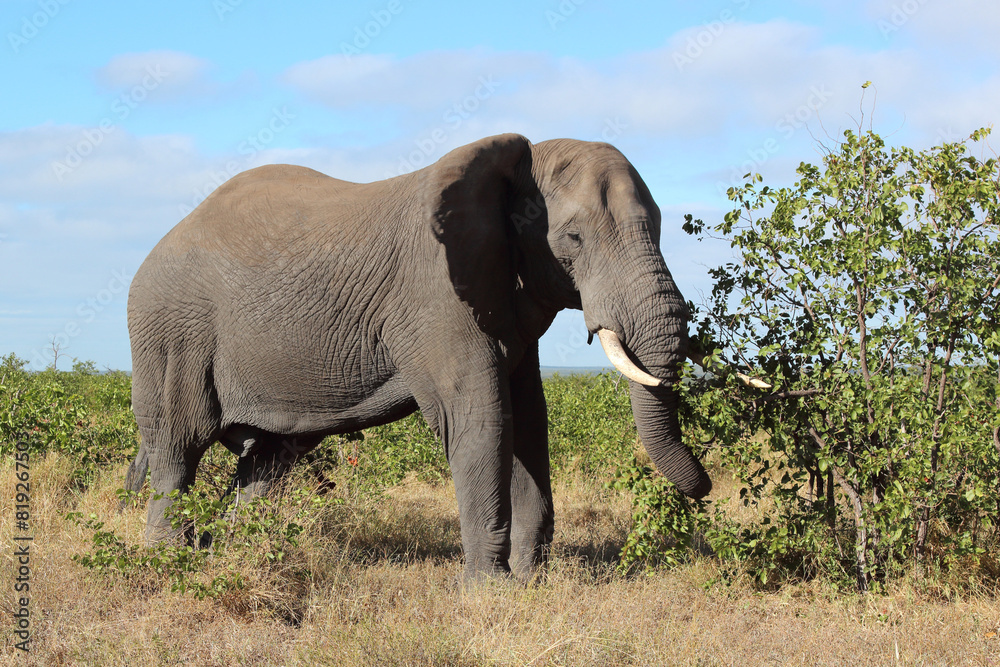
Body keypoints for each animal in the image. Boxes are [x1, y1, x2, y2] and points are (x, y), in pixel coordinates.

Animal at [123, 133, 713, 582]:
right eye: (574, 238)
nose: (706, 490)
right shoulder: (436, 298)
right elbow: (483, 420)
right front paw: (490, 593)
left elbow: (528, 421)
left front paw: (532, 584)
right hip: (171, 334)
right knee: (178, 448)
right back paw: (169, 563)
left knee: (267, 460)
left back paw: (239, 555)